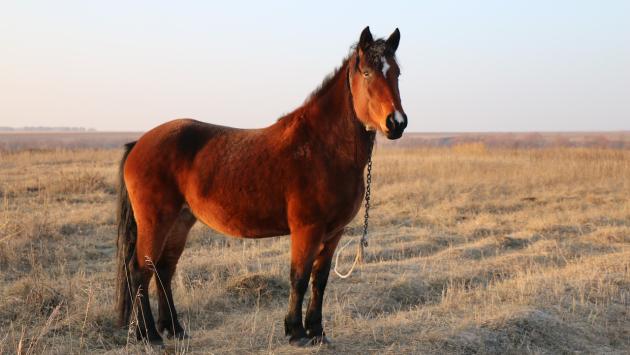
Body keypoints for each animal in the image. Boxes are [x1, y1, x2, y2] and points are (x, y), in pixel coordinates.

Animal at [114, 25, 410, 348]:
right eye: (367, 73)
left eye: (397, 72)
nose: (396, 123)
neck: (322, 147)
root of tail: (139, 143)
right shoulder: (307, 229)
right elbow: (299, 277)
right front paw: (296, 332)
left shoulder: (334, 232)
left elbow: (319, 280)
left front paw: (317, 332)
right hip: (156, 221)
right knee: (140, 270)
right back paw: (151, 336)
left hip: (180, 220)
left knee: (163, 270)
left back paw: (174, 329)